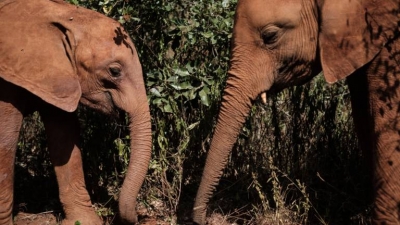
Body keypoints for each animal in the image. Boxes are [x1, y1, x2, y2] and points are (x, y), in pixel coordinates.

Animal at [0, 0, 152, 225]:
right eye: (115, 71)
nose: (137, 216)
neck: (62, 13)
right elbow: (5, 139)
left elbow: (64, 133)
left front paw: (84, 221)